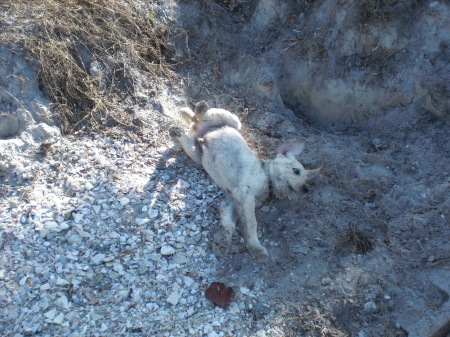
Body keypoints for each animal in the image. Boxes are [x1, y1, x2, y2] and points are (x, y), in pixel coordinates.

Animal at [169, 101, 320, 262]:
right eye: (296, 171)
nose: (306, 189)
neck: (267, 179)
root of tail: (200, 129)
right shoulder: (245, 194)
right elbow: (251, 224)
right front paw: (257, 248)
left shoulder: (231, 200)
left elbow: (228, 222)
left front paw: (222, 241)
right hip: (233, 121)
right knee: (205, 113)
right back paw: (200, 107)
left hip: (196, 153)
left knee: (187, 137)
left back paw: (177, 131)